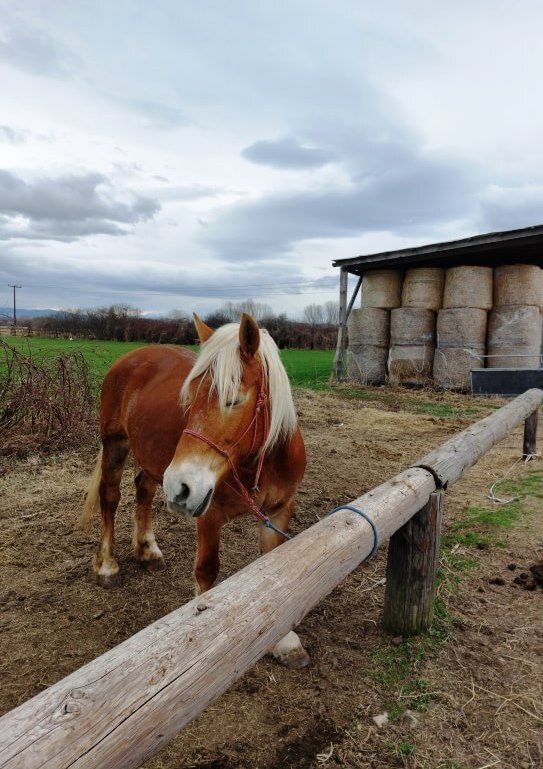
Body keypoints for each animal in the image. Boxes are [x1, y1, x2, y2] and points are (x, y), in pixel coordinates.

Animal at [82, 313, 309, 668]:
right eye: (188, 399)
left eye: (233, 400)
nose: (181, 486)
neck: (261, 461)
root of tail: (131, 357)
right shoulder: (209, 513)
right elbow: (207, 571)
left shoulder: (279, 510)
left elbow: (273, 564)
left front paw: (283, 641)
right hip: (115, 443)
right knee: (110, 497)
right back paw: (107, 566)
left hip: (153, 460)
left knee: (143, 490)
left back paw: (148, 551)